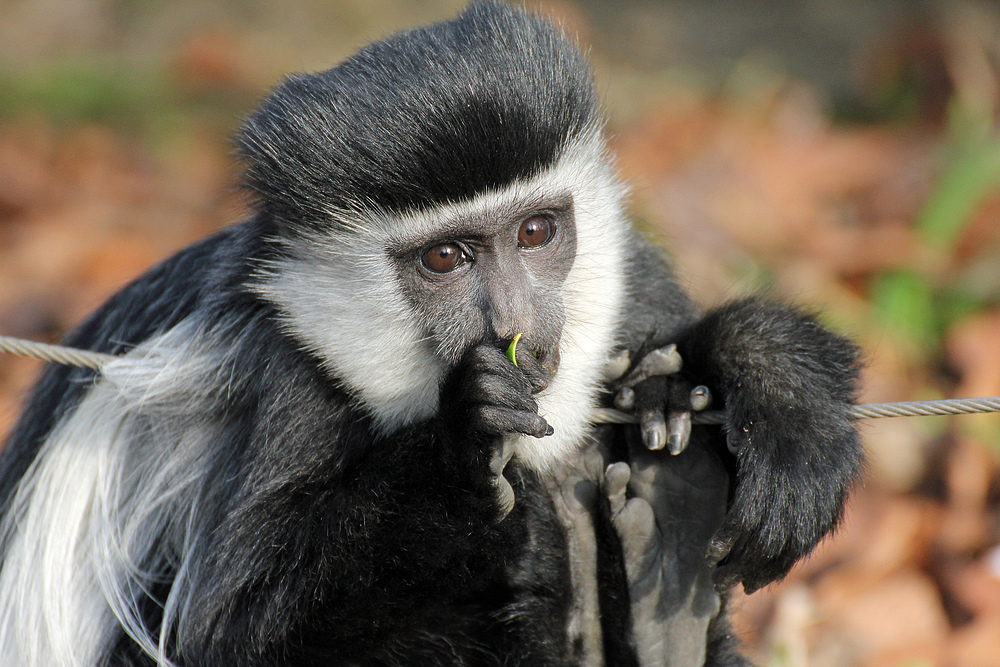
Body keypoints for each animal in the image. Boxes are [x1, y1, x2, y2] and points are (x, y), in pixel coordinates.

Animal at [0, 2, 860, 664]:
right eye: (445, 257)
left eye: (537, 232)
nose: (517, 330)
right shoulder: (292, 381)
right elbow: (229, 628)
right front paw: (463, 443)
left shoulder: (639, 282)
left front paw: (775, 391)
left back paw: (671, 541)